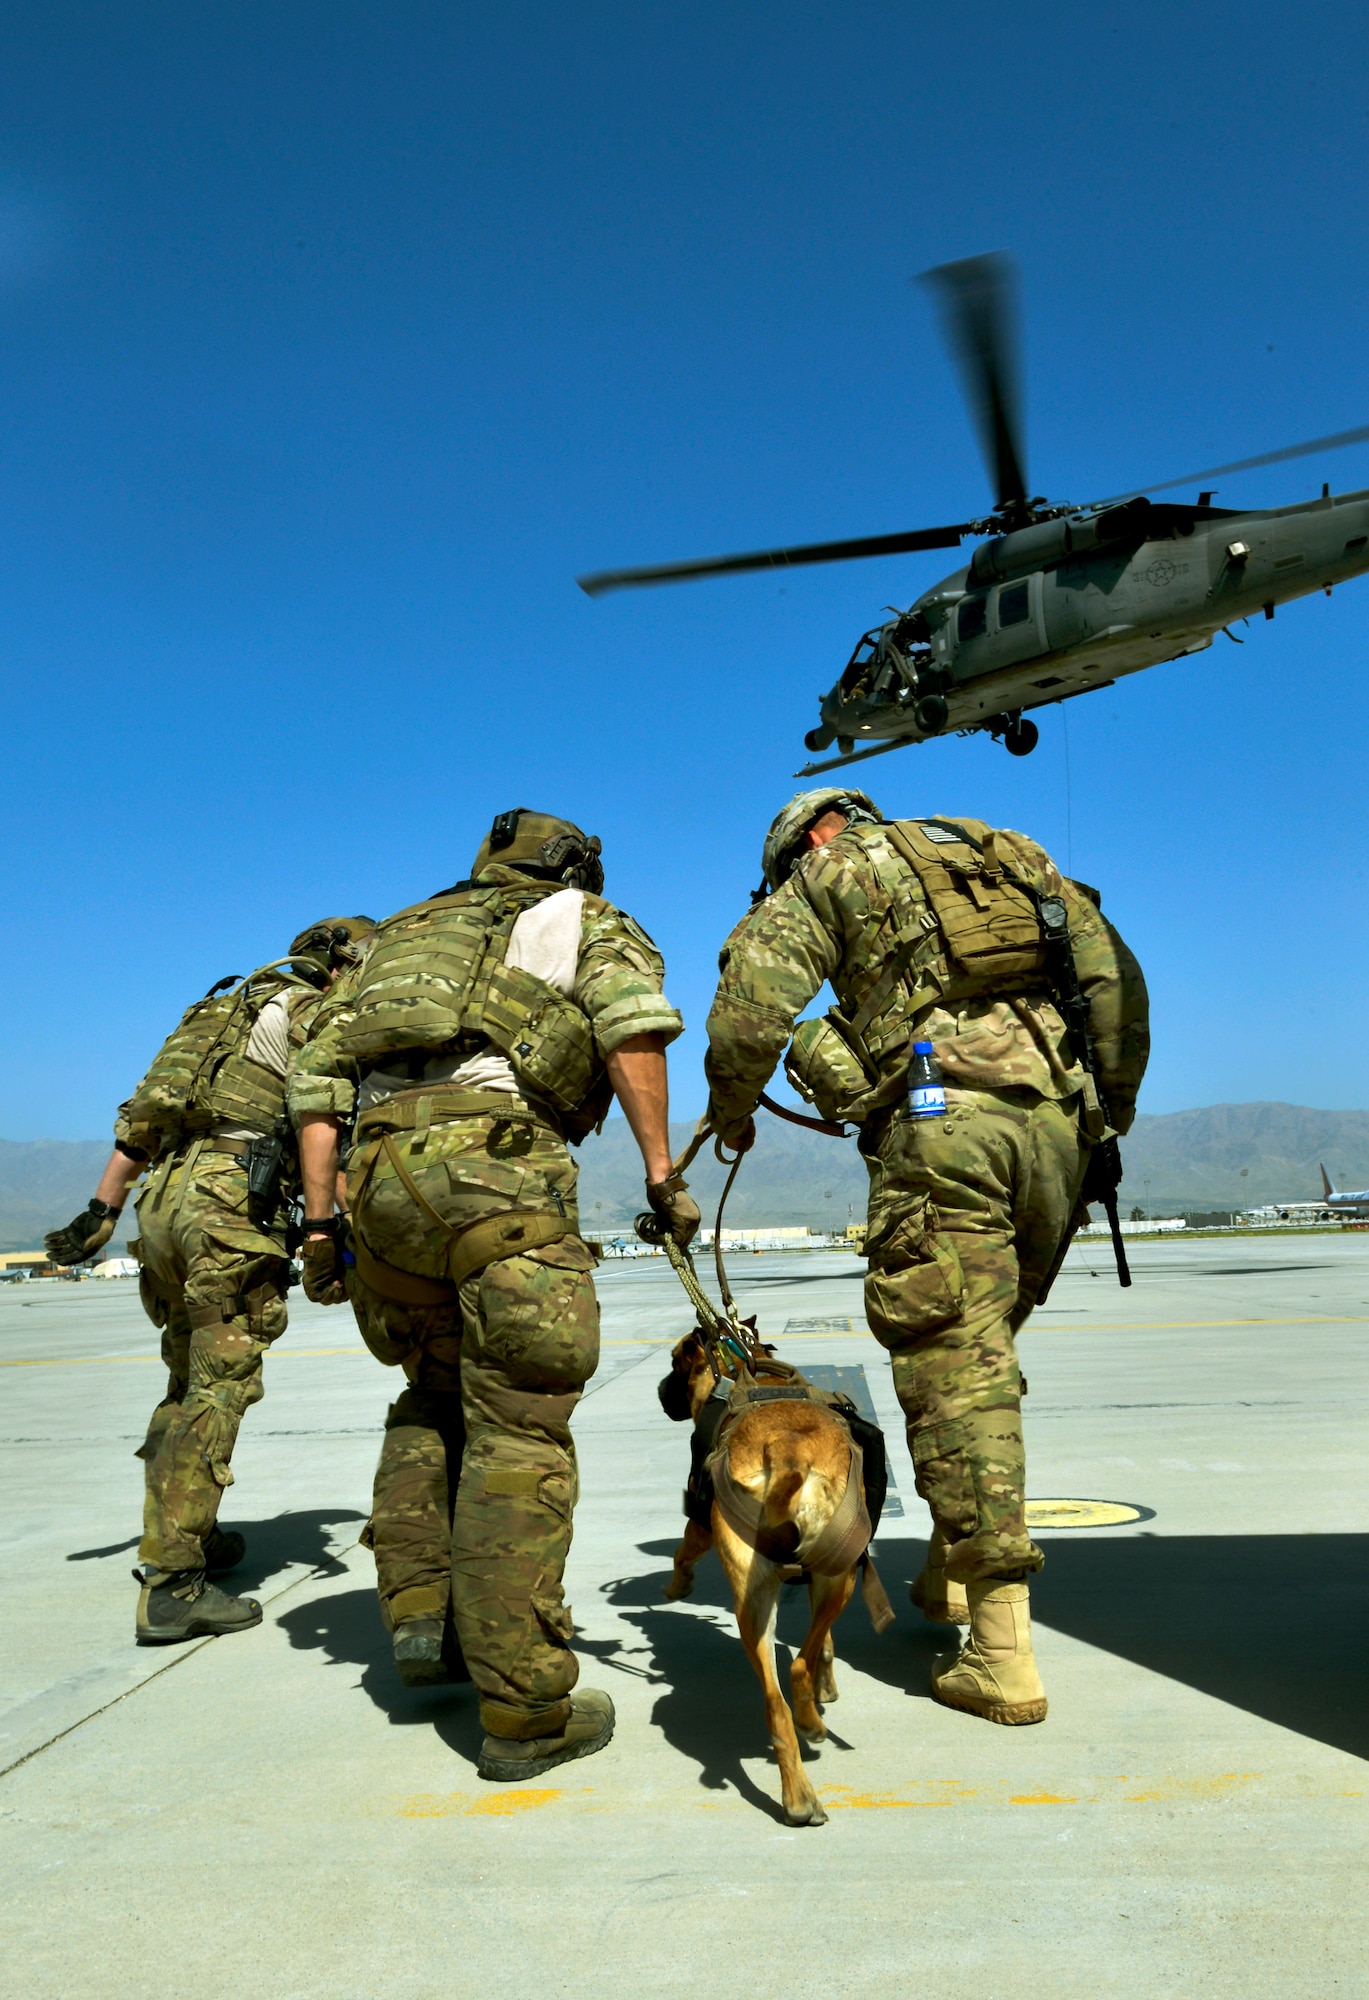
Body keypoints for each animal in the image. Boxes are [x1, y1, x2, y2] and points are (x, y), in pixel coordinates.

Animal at [656, 1328, 892, 1832]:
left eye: (674, 1363)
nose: (660, 1392)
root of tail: (785, 1453)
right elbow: (683, 1552)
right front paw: (677, 1585)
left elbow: (684, 1547)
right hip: (834, 1581)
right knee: (796, 1669)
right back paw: (811, 1732)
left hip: (759, 1603)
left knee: (776, 1701)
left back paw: (798, 1793)